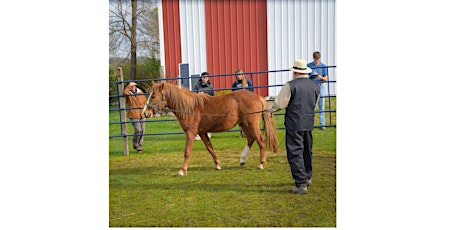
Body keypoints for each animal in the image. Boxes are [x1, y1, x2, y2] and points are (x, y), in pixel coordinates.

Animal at [144, 81, 278, 176]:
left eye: (153, 96)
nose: (145, 113)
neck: (190, 108)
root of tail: (258, 97)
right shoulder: (202, 133)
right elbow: (210, 148)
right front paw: (218, 165)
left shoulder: (191, 133)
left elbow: (187, 152)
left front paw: (182, 171)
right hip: (244, 124)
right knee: (251, 139)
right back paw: (242, 160)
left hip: (251, 124)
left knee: (260, 140)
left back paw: (261, 164)